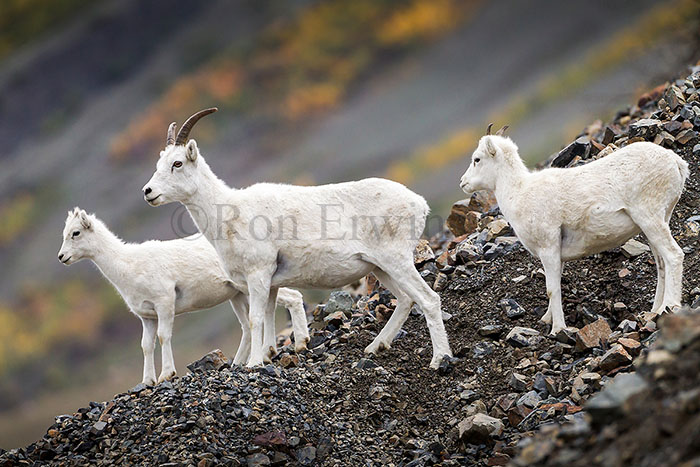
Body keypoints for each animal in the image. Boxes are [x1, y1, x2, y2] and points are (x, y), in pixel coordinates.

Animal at [58, 207, 310, 384]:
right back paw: (239, 363)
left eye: (76, 233)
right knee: (247, 327)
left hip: (253, 287)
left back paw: (300, 343)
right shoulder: (146, 316)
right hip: (238, 296)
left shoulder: (164, 304)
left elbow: (163, 337)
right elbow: (146, 346)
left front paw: (166, 375)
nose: (61, 257)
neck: (128, 266)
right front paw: (147, 381)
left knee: (292, 297)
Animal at [141, 109, 454, 370]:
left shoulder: (257, 276)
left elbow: (256, 320)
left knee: (428, 299)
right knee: (405, 300)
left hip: (396, 261)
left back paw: (439, 359)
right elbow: (269, 318)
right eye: (159, 163)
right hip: (380, 268)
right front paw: (267, 356)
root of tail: (419, 203)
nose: (148, 192)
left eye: (177, 163)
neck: (229, 214)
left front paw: (254, 364)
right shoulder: (270, 283)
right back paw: (374, 348)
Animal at [460, 125, 688, 336]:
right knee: (661, 265)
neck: (519, 193)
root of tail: (676, 162)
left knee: (673, 256)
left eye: (477, 159)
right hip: (656, 223)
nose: (463, 182)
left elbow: (552, 290)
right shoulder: (556, 255)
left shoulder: (548, 249)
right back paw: (654, 310)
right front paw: (547, 319)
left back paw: (669, 307)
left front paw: (557, 330)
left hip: (650, 219)